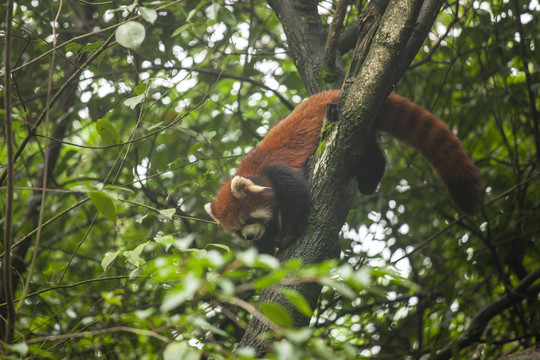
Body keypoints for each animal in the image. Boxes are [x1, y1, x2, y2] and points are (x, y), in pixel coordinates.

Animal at [205, 90, 484, 253]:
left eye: (247, 219)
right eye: (238, 230)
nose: (249, 236)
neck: (254, 170)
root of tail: (336, 90)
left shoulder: (278, 172)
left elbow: (297, 198)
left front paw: (286, 237)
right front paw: (265, 250)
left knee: (369, 155)